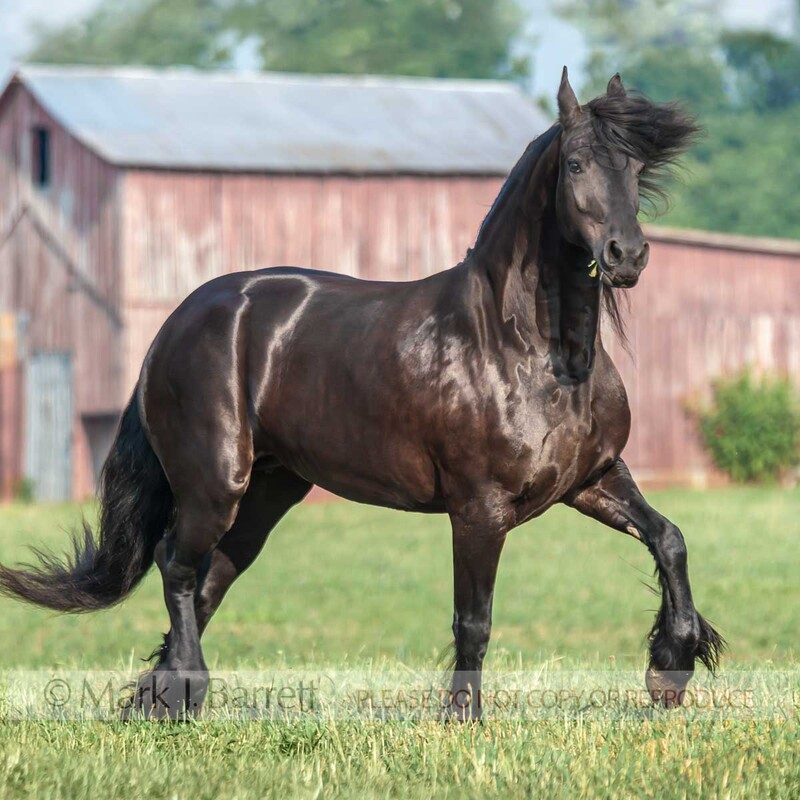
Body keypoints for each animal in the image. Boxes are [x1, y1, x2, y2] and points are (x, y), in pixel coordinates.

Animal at [0, 68, 723, 719]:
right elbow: (473, 620)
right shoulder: (479, 507)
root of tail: (176, 325)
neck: (523, 346)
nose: (627, 256)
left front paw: (672, 668)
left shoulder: (592, 478)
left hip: (265, 495)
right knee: (174, 567)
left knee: (205, 583)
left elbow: (670, 539)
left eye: (636, 167)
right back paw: (183, 696)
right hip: (215, 483)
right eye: (575, 165)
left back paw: (153, 702)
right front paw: (462, 719)